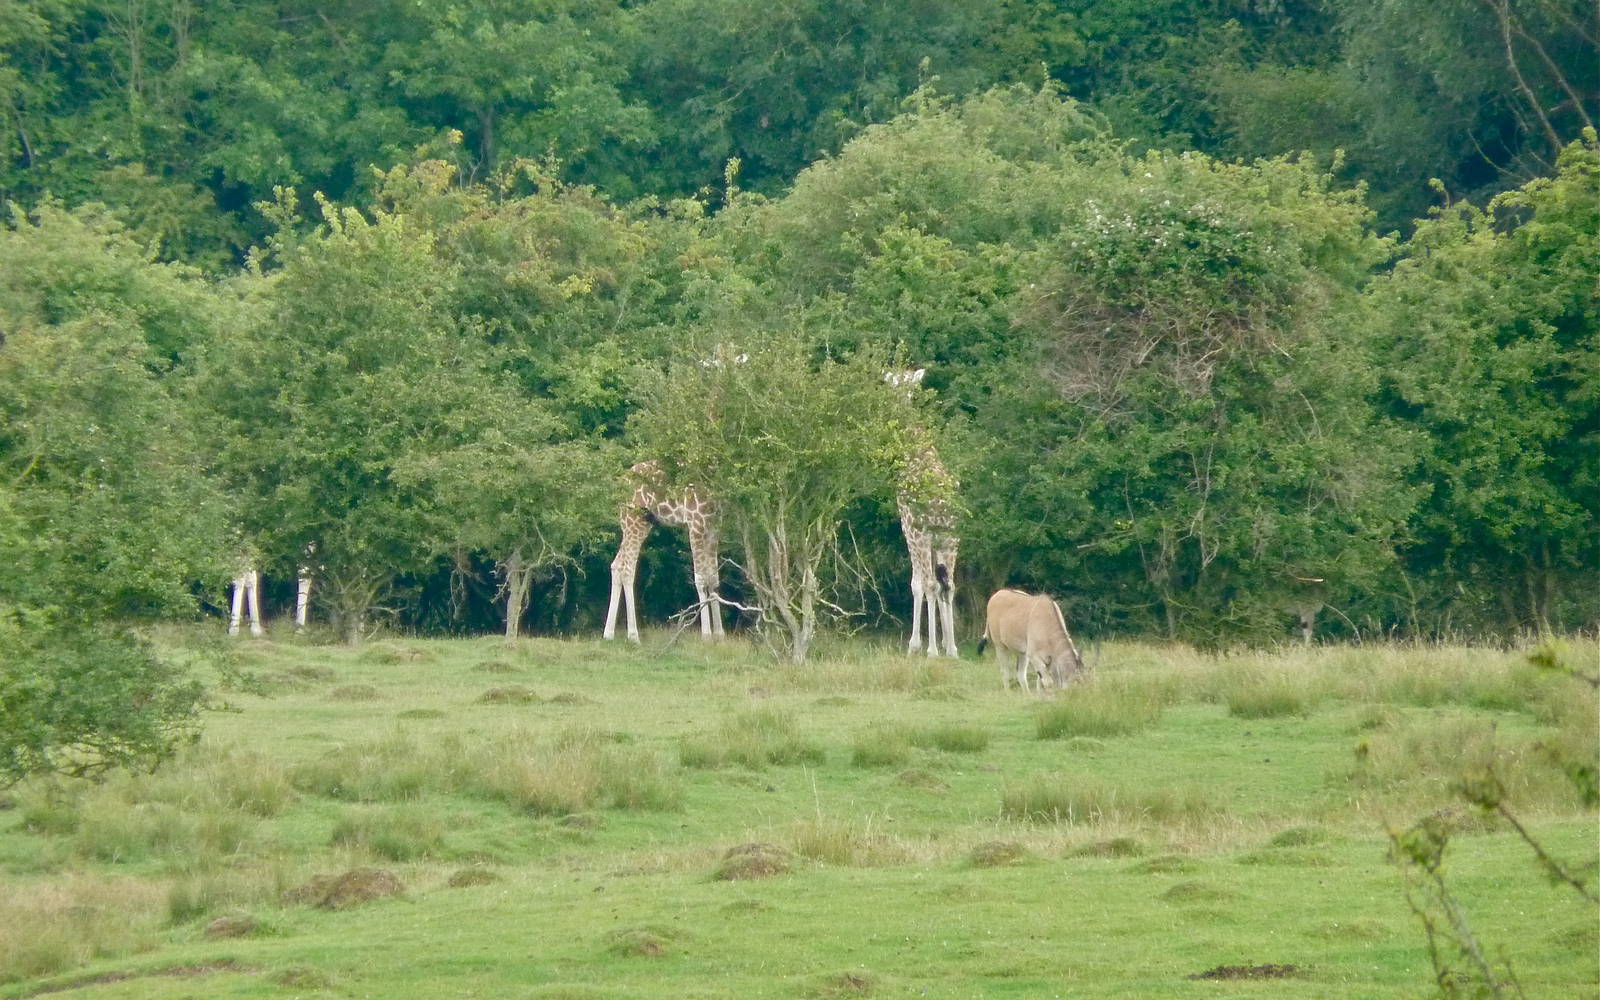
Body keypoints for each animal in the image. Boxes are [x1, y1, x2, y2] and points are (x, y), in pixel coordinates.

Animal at [602, 460, 724, 642]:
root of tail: (622, 482)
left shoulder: (713, 525)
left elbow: (713, 577)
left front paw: (720, 635)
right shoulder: (696, 522)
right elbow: (701, 578)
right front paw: (707, 635)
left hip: (635, 523)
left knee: (616, 565)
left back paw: (609, 634)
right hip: (635, 520)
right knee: (627, 568)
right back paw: (633, 636)